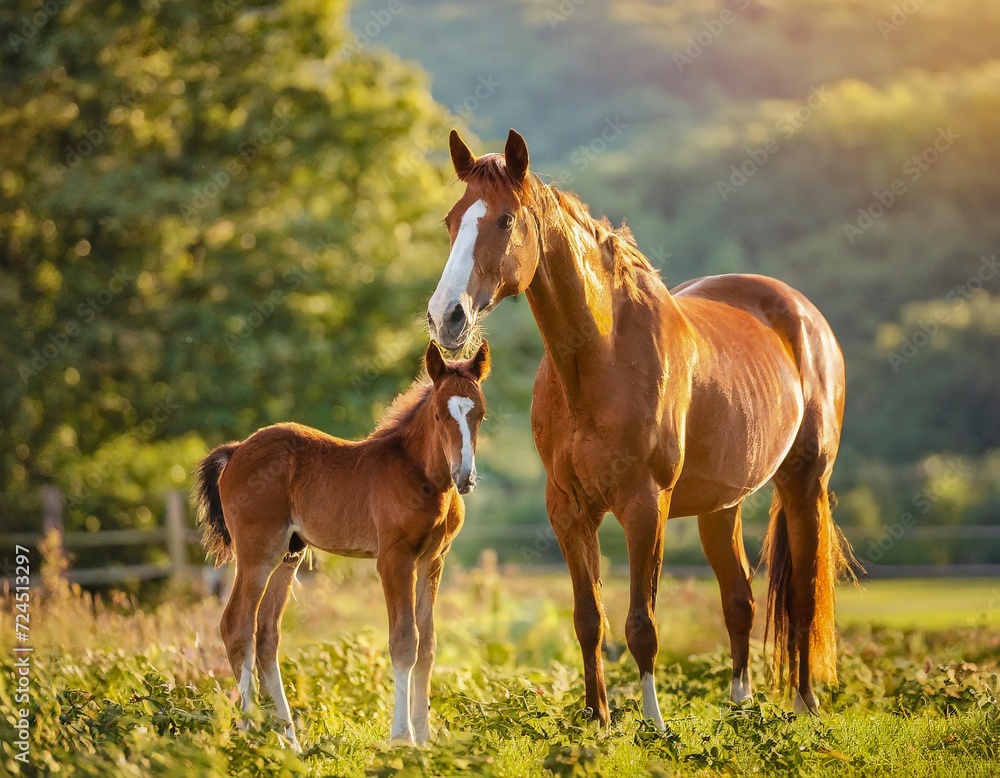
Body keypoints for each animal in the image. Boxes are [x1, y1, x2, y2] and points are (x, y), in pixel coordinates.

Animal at [194, 341, 491, 748]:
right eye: (437, 414)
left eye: (480, 414)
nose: (465, 477)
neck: (423, 477)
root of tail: (236, 450)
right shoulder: (394, 559)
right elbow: (404, 641)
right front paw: (402, 739)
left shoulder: (433, 561)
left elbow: (427, 644)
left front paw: (425, 739)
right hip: (257, 553)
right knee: (236, 625)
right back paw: (248, 734)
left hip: (290, 553)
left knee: (266, 634)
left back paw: (290, 741)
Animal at [425, 129, 853, 727]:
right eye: (451, 219)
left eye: (506, 219)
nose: (447, 317)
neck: (600, 359)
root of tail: (804, 315)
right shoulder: (568, 509)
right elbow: (589, 619)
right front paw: (597, 716)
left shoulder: (645, 507)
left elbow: (640, 623)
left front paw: (653, 722)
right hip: (722, 506)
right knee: (740, 601)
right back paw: (740, 709)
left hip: (804, 482)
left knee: (802, 596)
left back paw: (803, 704)